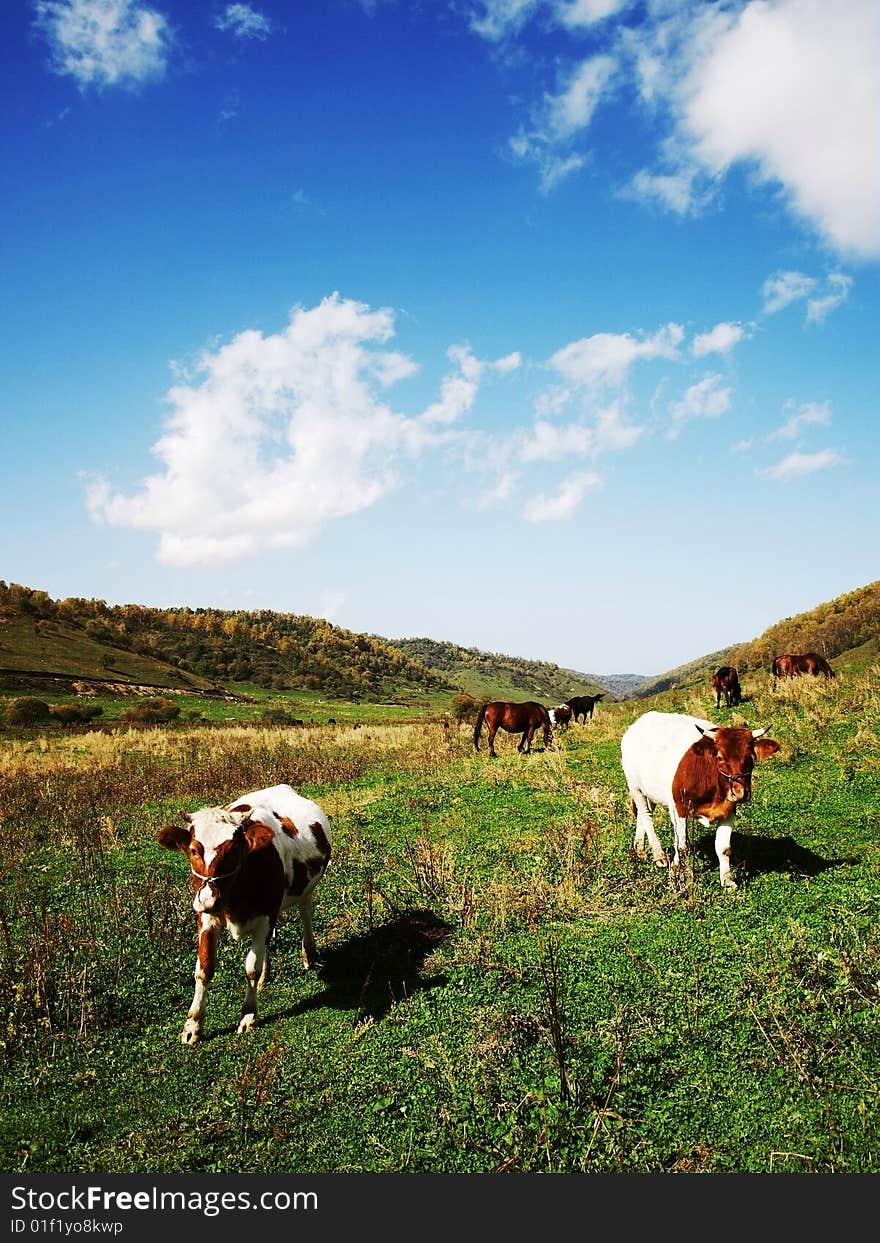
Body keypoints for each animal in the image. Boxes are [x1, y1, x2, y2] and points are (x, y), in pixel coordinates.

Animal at [156, 780, 330, 1044]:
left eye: (232, 851)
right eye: (194, 850)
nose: (208, 899)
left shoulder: (266, 915)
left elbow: (251, 968)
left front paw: (248, 1015)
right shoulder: (207, 917)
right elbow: (203, 968)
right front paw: (192, 1025)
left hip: (306, 888)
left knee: (305, 913)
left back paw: (309, 954)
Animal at [621, 715, 780, 889]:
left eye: (751, 757)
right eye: (719, 757)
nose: (740, 793)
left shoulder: (729, 811)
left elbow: (724, 848)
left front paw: (727, 880)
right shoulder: (678, 808)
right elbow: (682, 845)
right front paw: (677, 873)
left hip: (651, 790)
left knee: (642, 816)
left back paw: (639, 849)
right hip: (635, 786)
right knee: (646, 816)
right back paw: (659, 855)